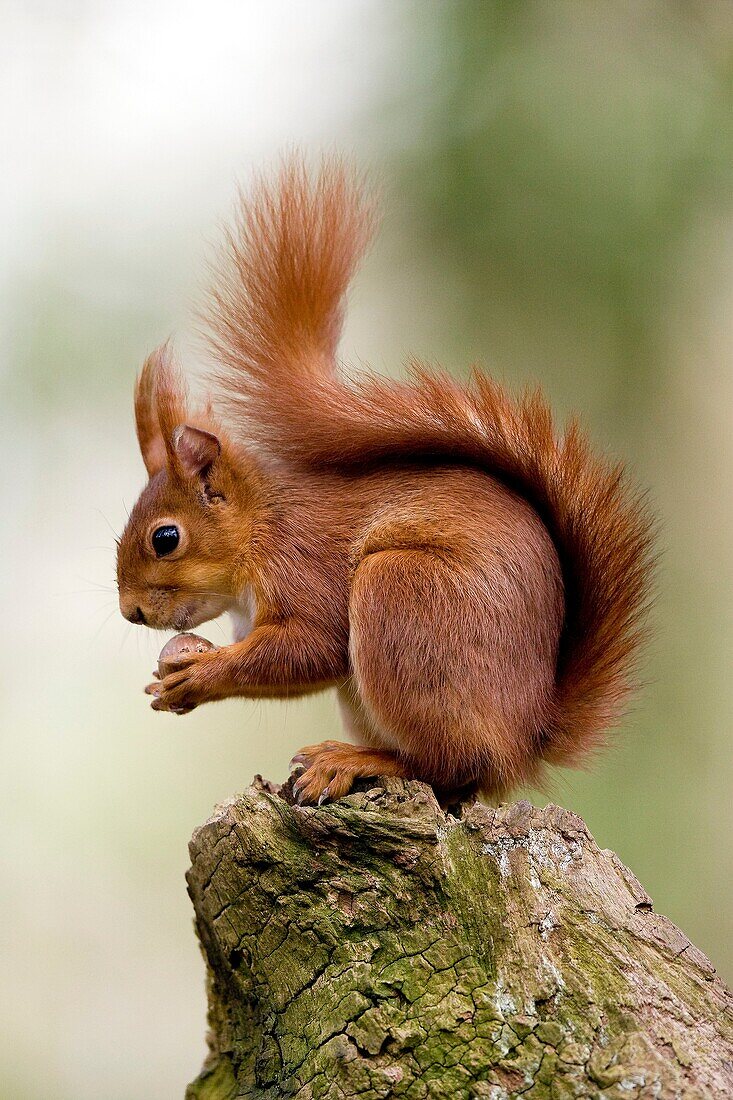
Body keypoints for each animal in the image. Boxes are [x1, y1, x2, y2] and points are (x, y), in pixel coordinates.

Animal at [117, 155, 651, 805]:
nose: (130, 613)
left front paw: (199, 674)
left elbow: (310, 648)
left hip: (402, 600)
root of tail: (525, 740)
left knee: (447, 764)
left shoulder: (303, 564)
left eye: (165, 538)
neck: (260, 529)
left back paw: (351, 761)